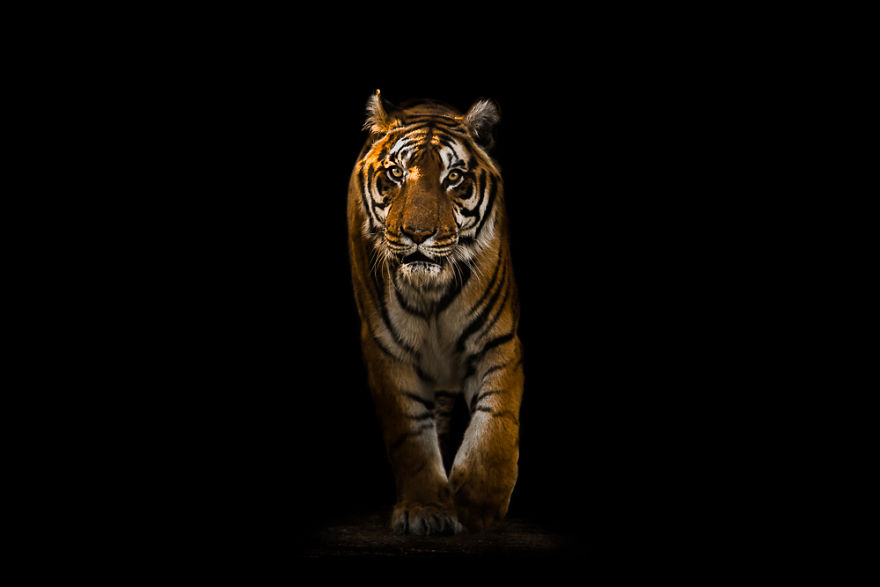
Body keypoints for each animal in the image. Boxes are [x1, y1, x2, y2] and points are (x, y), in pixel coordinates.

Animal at [347, 91, 523, 535]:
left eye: (454, 177)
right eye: (395, 173)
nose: (417, 234)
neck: (431, 292)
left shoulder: (499, 340)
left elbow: (497, 417)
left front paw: (478, 500)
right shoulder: (387, 350)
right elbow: (411, 435)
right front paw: (426, 508)